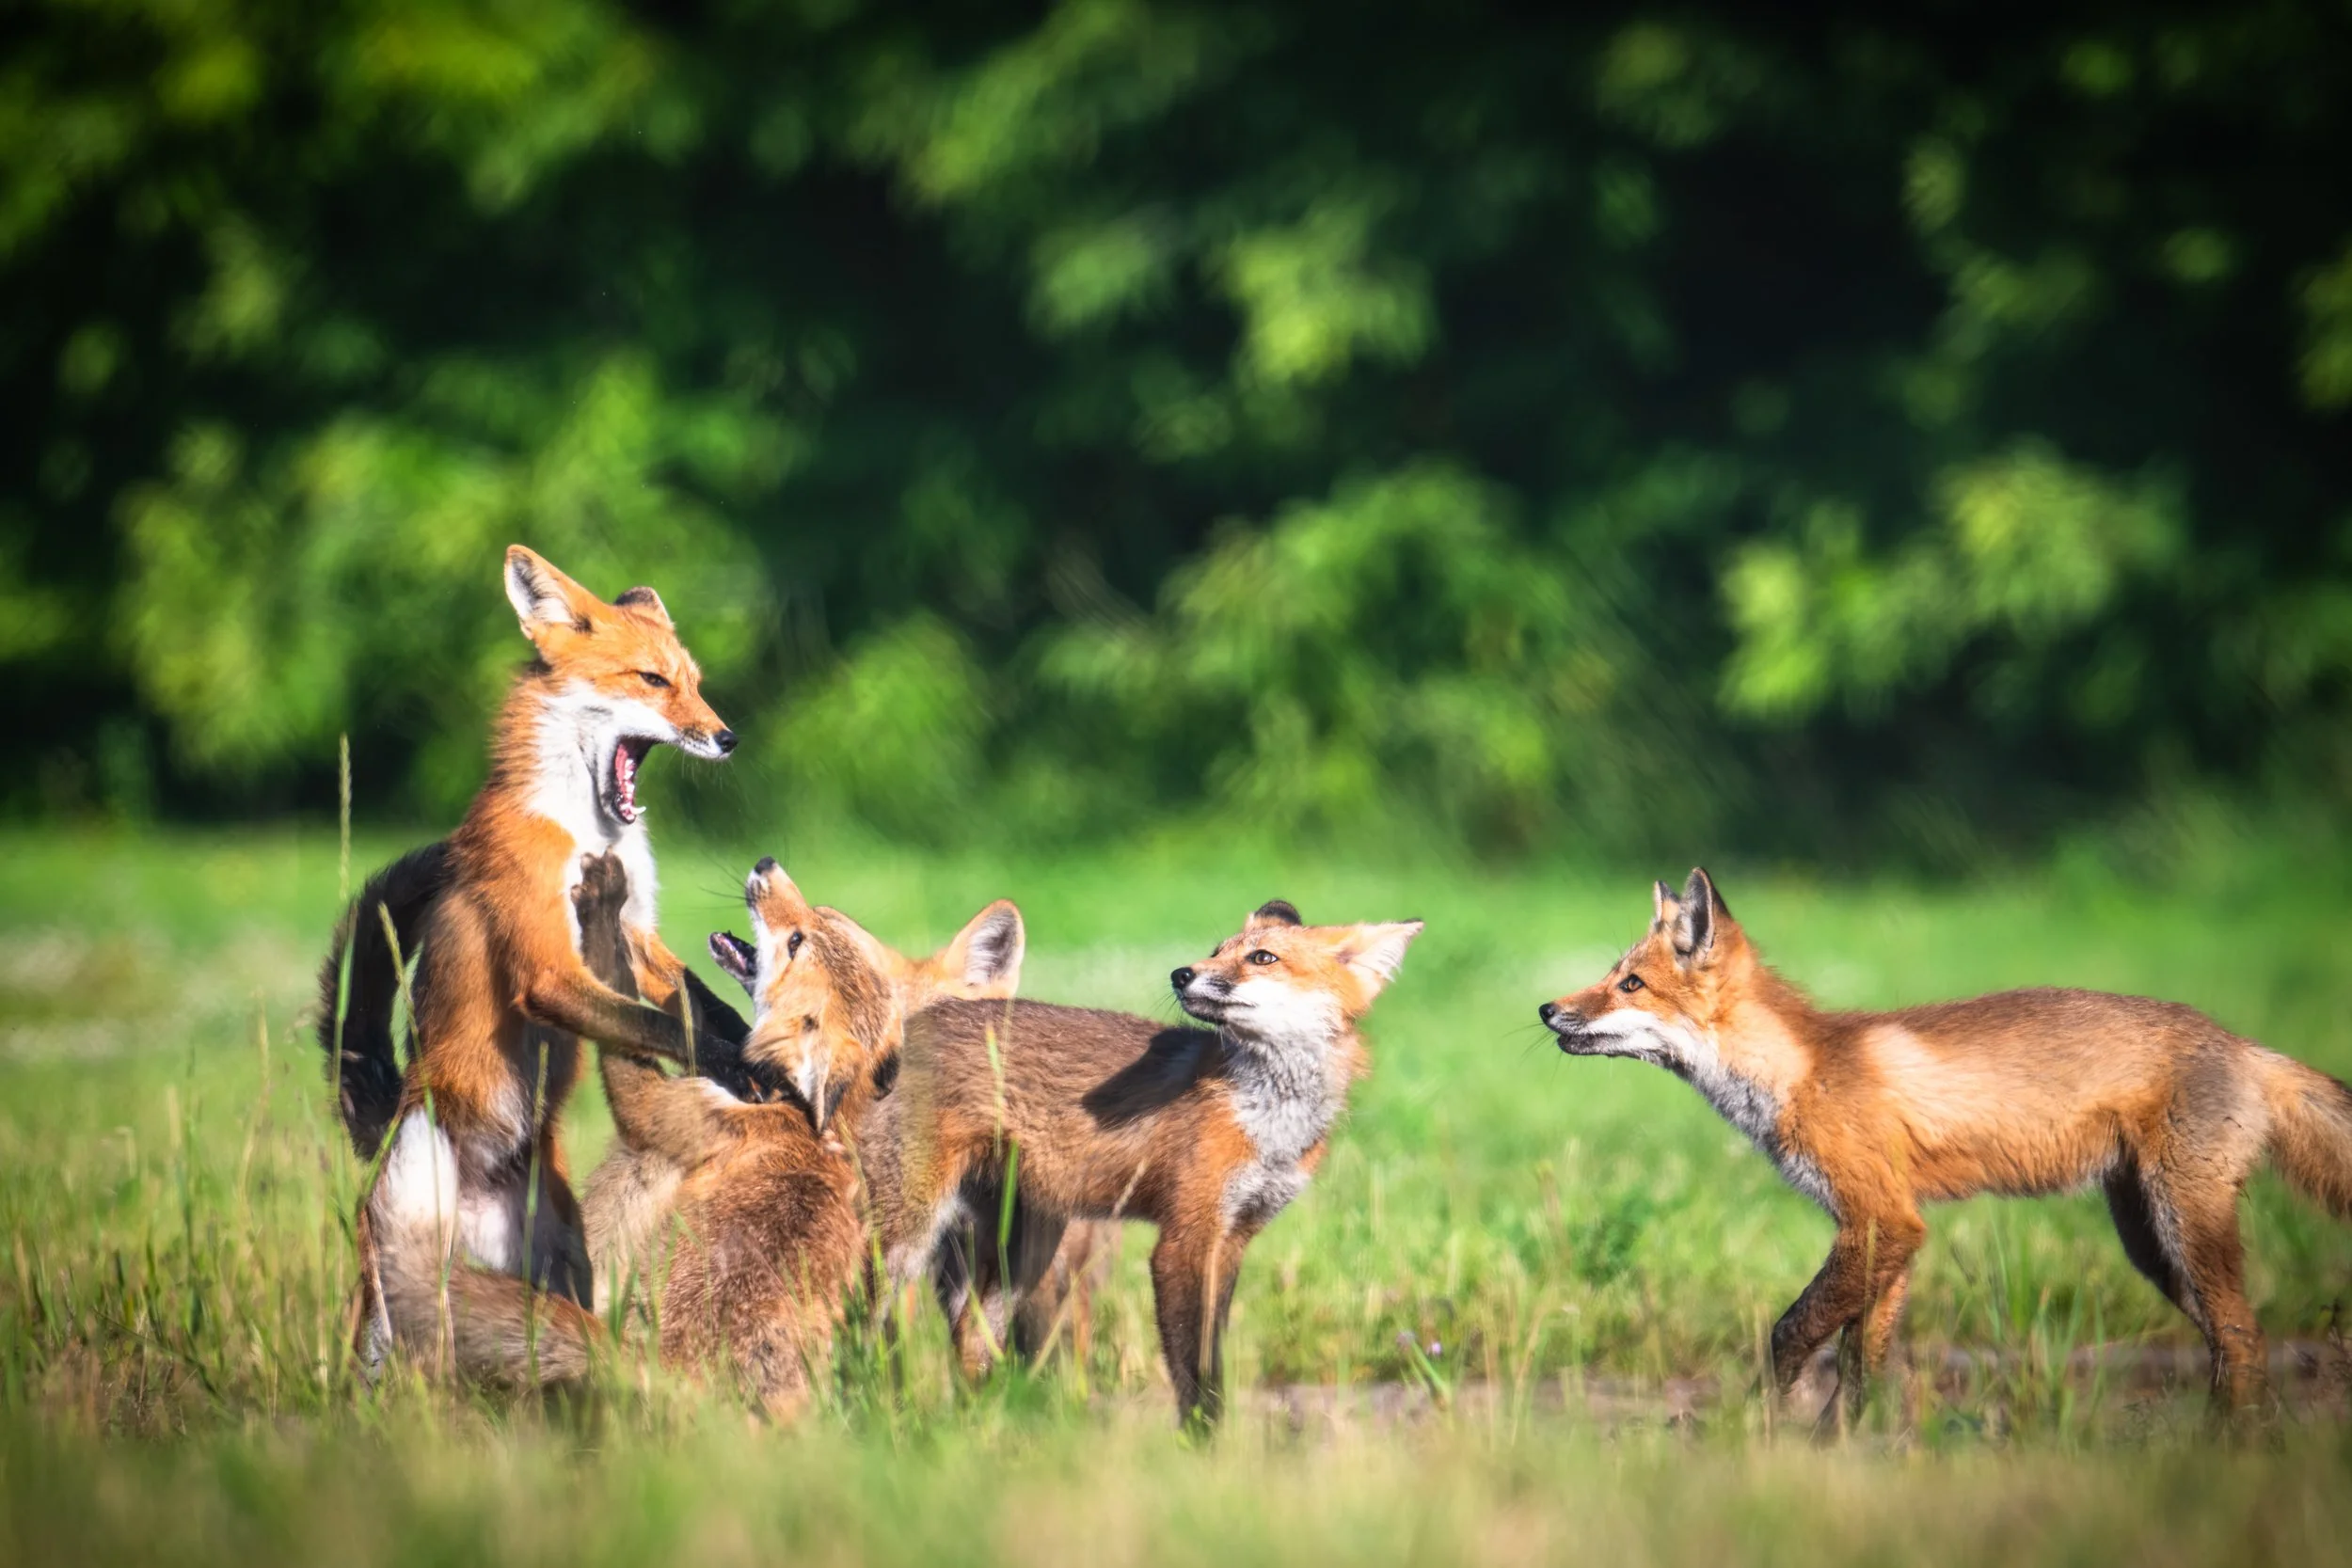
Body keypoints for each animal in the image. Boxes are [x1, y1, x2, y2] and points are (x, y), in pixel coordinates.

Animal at [317, 545, 743, 1384]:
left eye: (695, 682)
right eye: (653, 680)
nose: (727, 736)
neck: (590, 828)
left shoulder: (639, 935)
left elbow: (699, 1003)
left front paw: (753, 1046)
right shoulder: (547, 969)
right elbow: (664, 1029)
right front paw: (743, 1068)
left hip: (564, 1267)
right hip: (383, 1312)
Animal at [880, 901, 1421, 1424]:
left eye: (1262, 957)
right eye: (1217, 950)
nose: (1181, 974)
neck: (1266, 1120)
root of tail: (913, 1023)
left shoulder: (1233, 1237)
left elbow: (1212, 1360)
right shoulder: (1183, 1239)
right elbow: (1195, 1373)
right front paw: (1203, 1445)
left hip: (1026, 1247)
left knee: (971, 1337)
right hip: (907, 1235)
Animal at [1539, 868, 2352, 1428]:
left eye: (1630, 983)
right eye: (1611, 976)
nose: (1547, 1008)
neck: (1801, 1068)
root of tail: (2243, 1044)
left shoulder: (1882, 1218)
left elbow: (1790, 1330)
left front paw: (1760, 1422)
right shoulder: (1888, 1232)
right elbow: (1860, 1365)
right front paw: (1838, 1450)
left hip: (2185, 1226)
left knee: (2242, 1338)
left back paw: (2217, 1453)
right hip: (2152, 1246)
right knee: (2236, 1340)